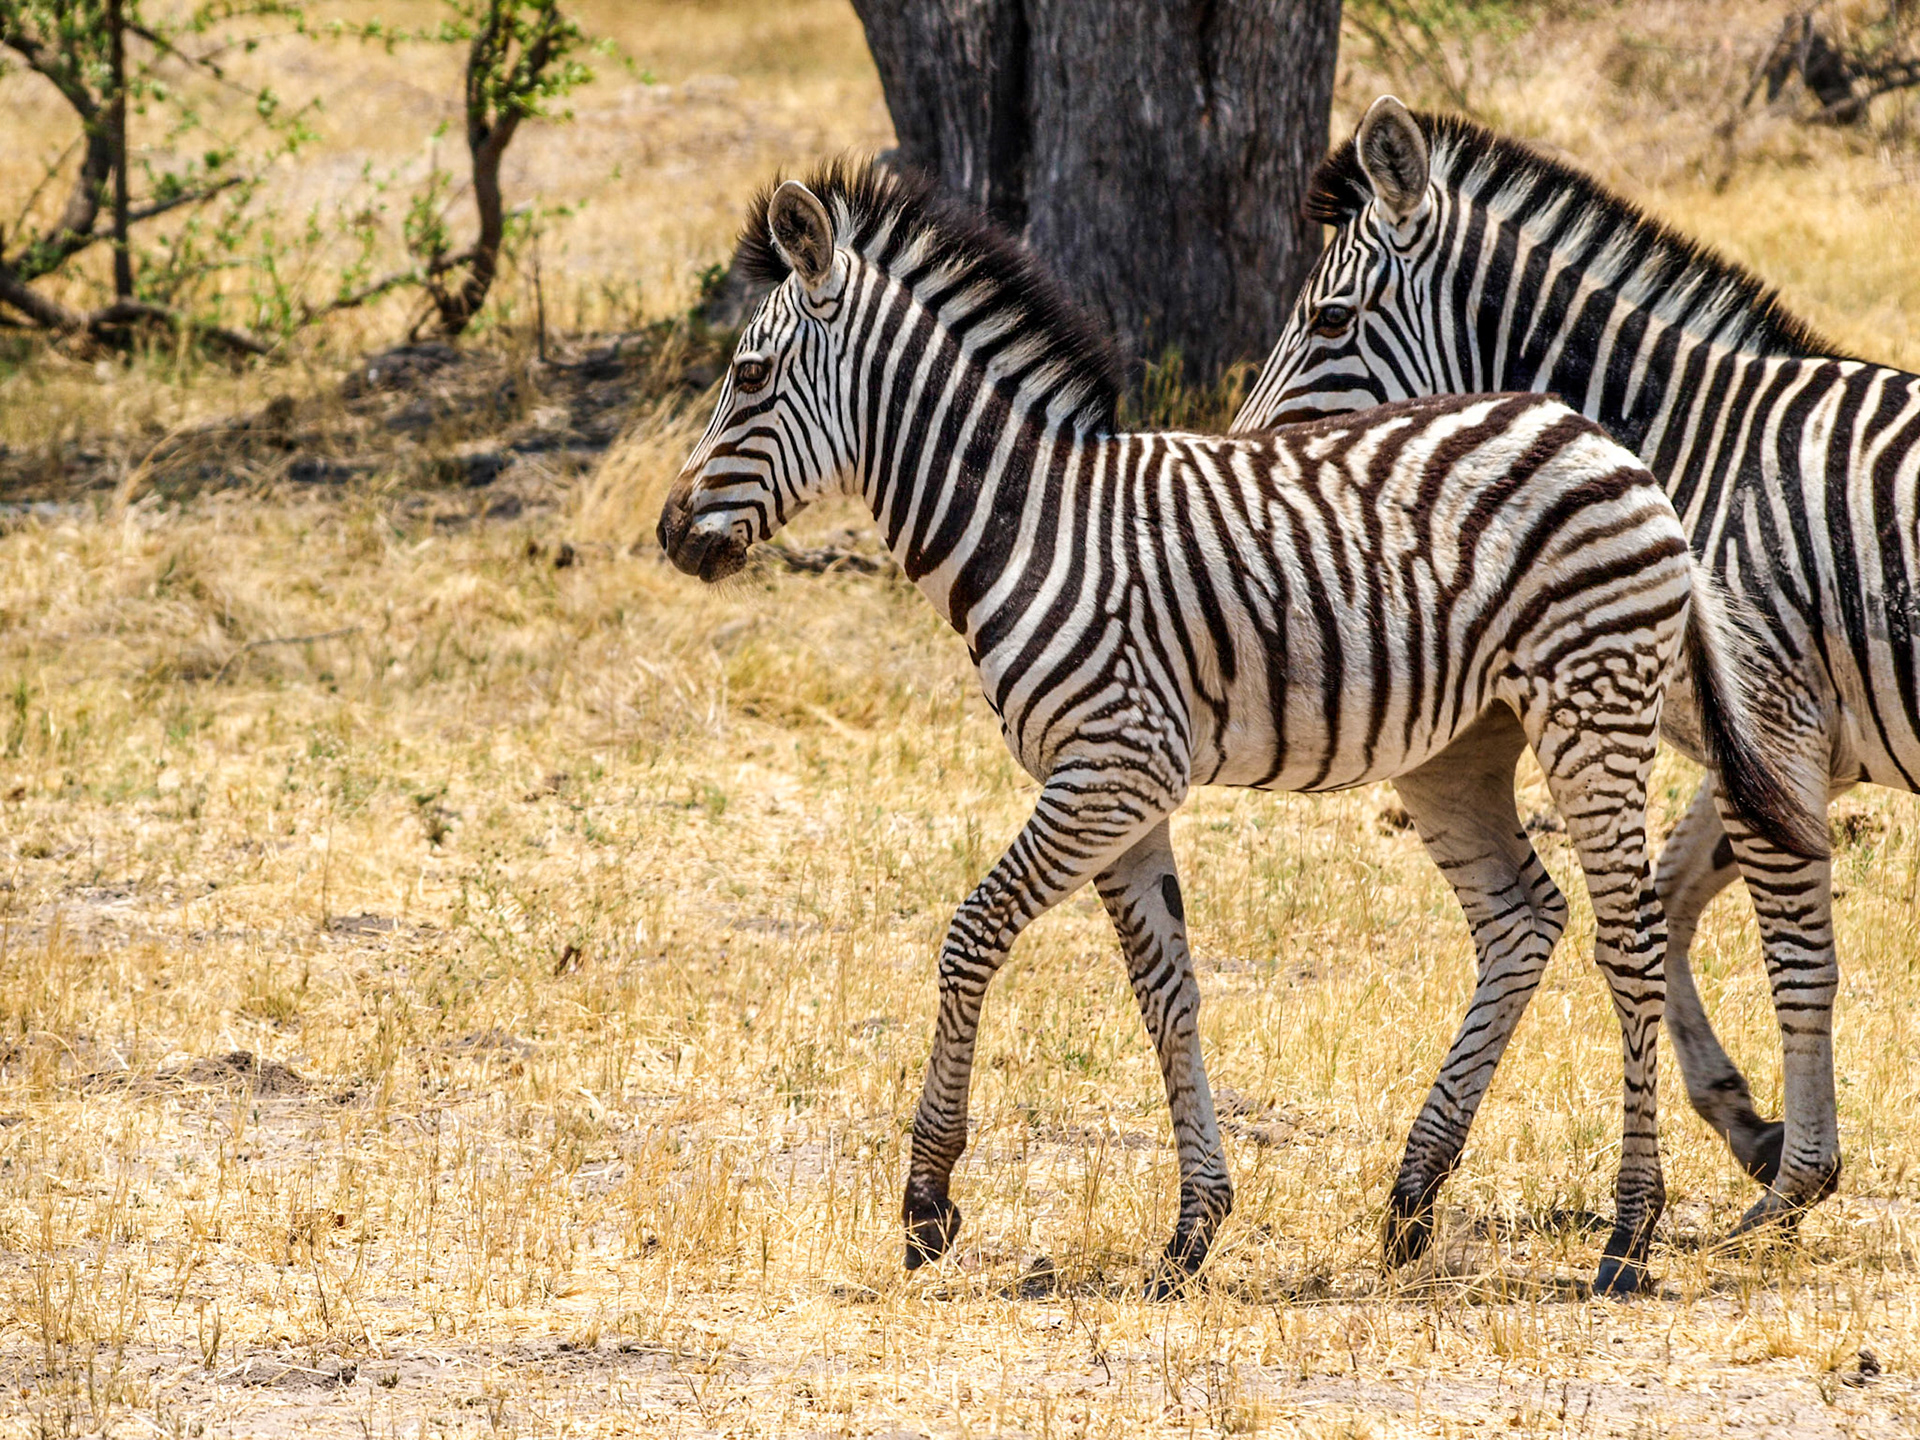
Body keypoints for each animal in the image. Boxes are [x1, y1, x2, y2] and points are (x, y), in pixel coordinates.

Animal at [656, 161, 1823, 1295]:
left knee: (1628, 935)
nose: (669, 537)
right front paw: (1191, 1231)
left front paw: (928, 1202)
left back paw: (1629, 1233)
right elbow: (1167, 995)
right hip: (1461, 744)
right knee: (1523, 918)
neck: (1027, 523)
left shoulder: (1113, 767)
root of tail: (1604, 441)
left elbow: (972, 935)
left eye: (749, 378)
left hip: (1593, 699)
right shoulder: (1121, 793)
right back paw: (1414, 1204)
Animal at [1234, 95, 1920, 1238]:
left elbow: (1794, 959)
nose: (1239, 457)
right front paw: (1752, 1127)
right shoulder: (1763, 750)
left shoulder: (1772, 715)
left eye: (1329, 320)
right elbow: (1664, 913)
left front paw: (1794, 1185)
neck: (1690, 457)